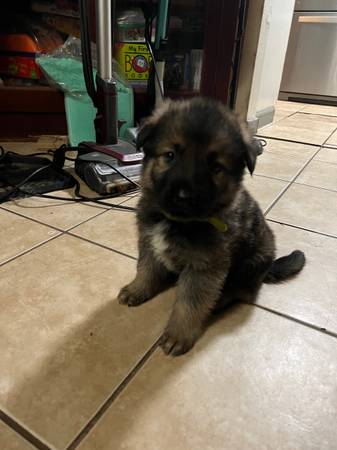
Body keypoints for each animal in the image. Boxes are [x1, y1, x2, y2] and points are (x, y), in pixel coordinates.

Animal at [118, 97, 304, 356]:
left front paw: (178, 334)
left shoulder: (204, 268)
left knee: (241, 290)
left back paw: (221, 301)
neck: (175, 222)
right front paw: (137, 290)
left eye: (215, 167)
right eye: (170, 155)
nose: (184, 196)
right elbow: (145, 270)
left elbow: (189, 304)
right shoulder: (148, 243)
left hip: (252, 262)